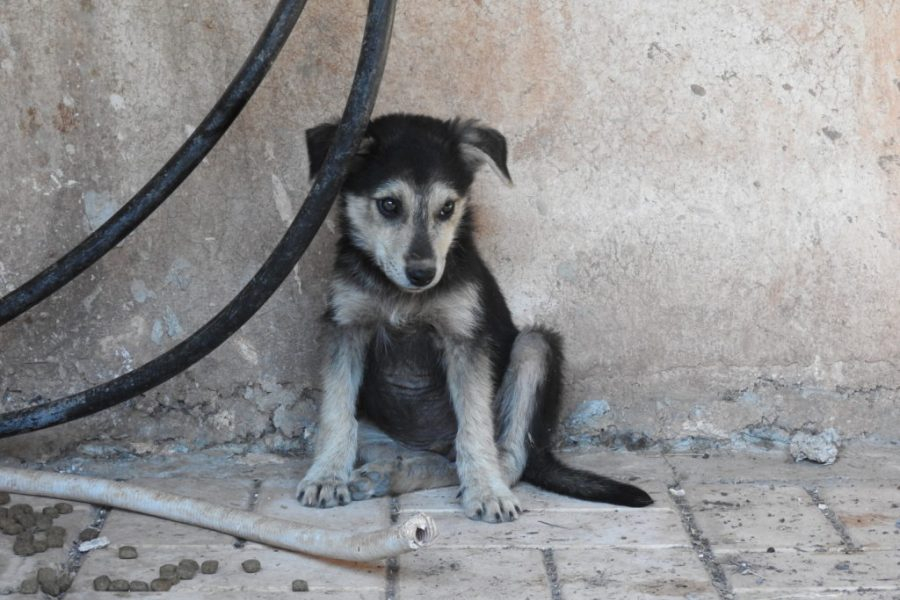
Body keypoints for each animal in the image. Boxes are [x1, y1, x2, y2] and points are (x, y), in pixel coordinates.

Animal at [298, 112, 652, 520]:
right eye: (388, 205)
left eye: (447, 209)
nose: (423, 274)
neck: (402, 295)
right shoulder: (346, 327)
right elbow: (336, 413)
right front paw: (326, 476)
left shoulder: (464, 338)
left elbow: (474, 426)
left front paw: (486, 490)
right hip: (379, 433)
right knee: (428, 457)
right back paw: (386, 473)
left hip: (535, 346)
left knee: (507, 458)